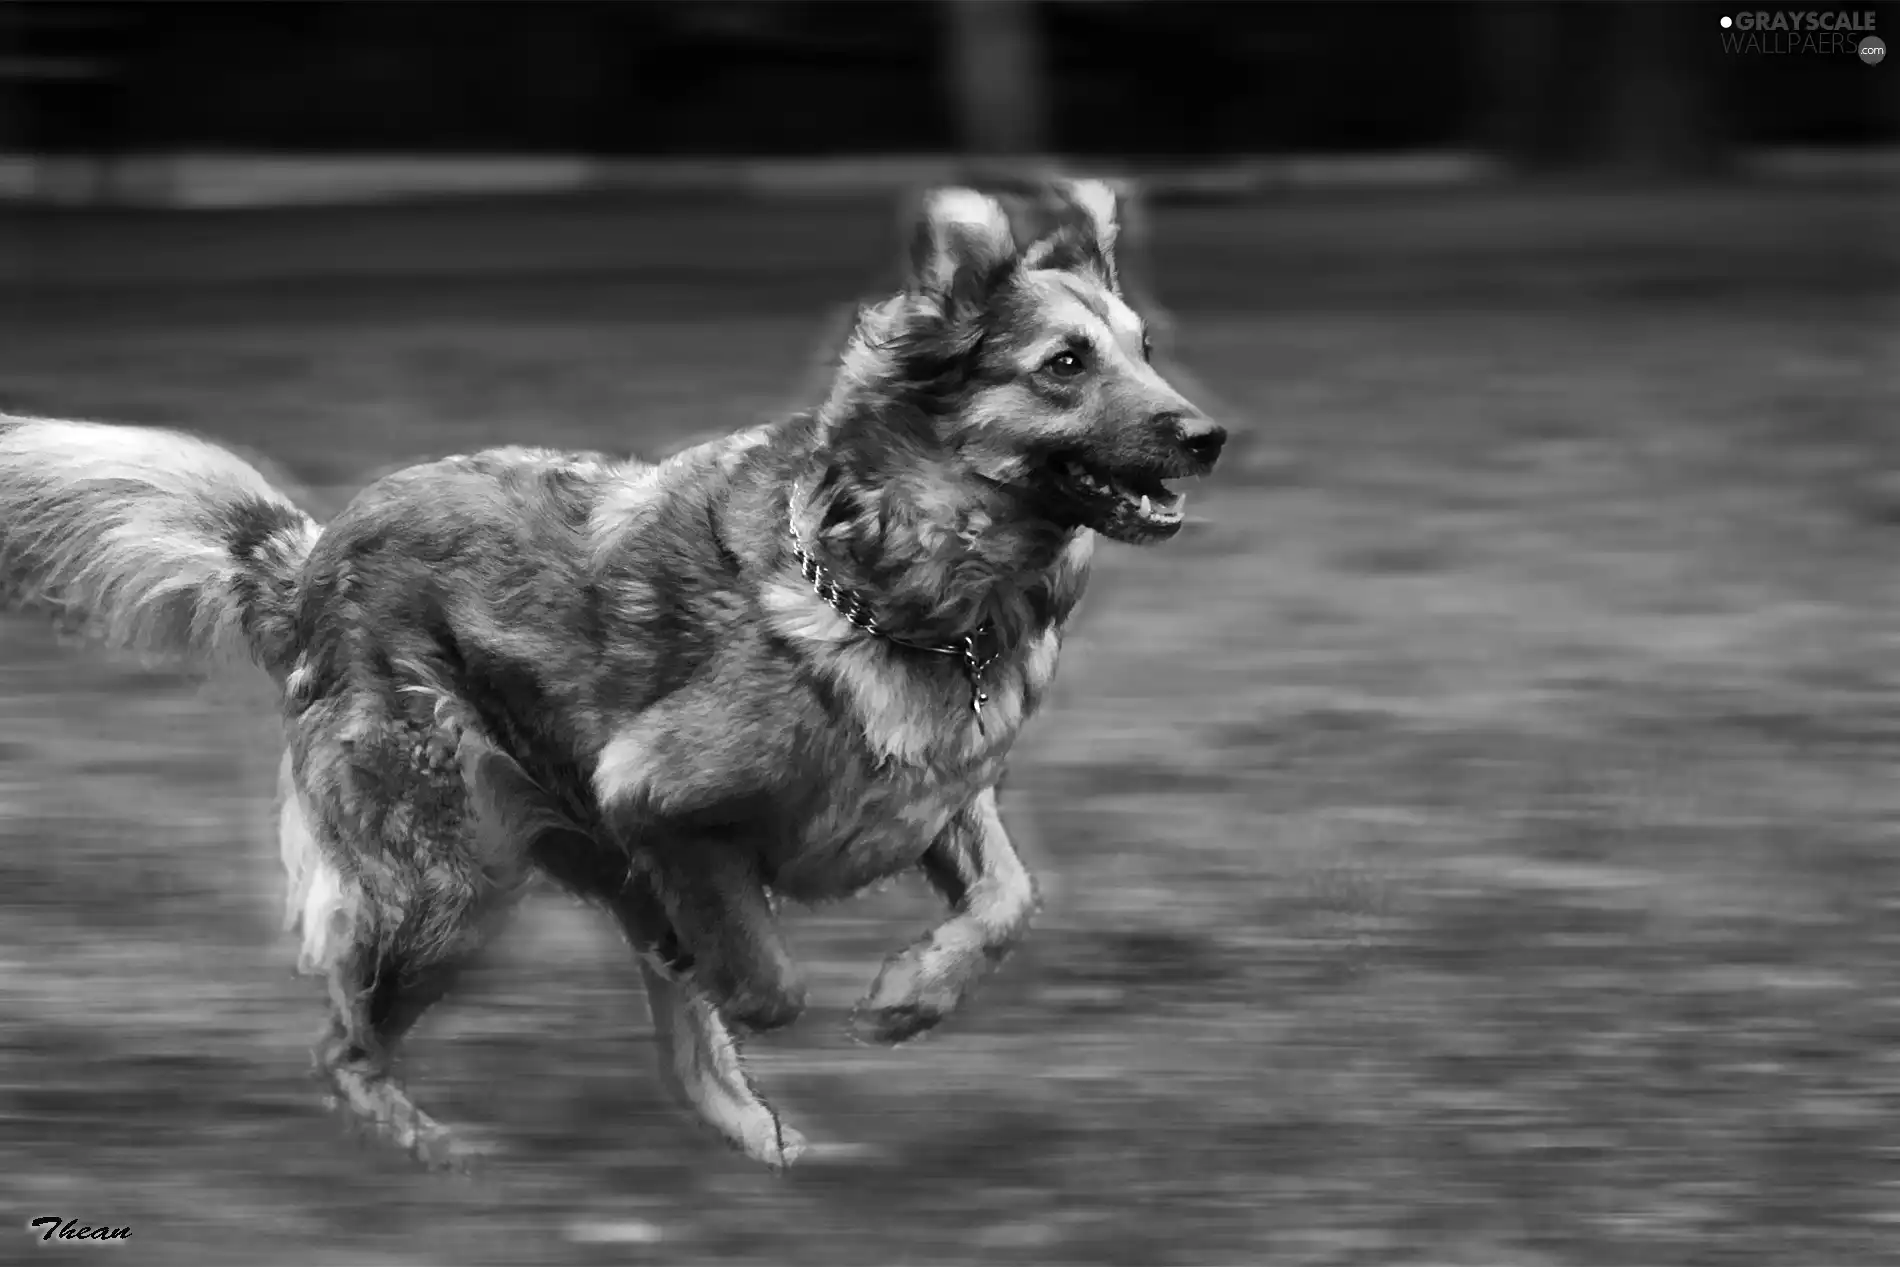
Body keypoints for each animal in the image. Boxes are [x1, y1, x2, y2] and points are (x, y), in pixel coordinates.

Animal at [0, 178, 1223, 1170]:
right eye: (1064, 364)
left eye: (1145, 349)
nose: (1208, 435)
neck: (895, 590)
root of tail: (308, 559)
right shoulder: (654, 800)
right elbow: (764, 984)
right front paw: (834, 999)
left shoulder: (938, 796)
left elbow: (1009, 900)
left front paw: (909, 1001)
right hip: (447, 883)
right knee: (344, 1044)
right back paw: (440, 1159)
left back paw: (764, 1148)